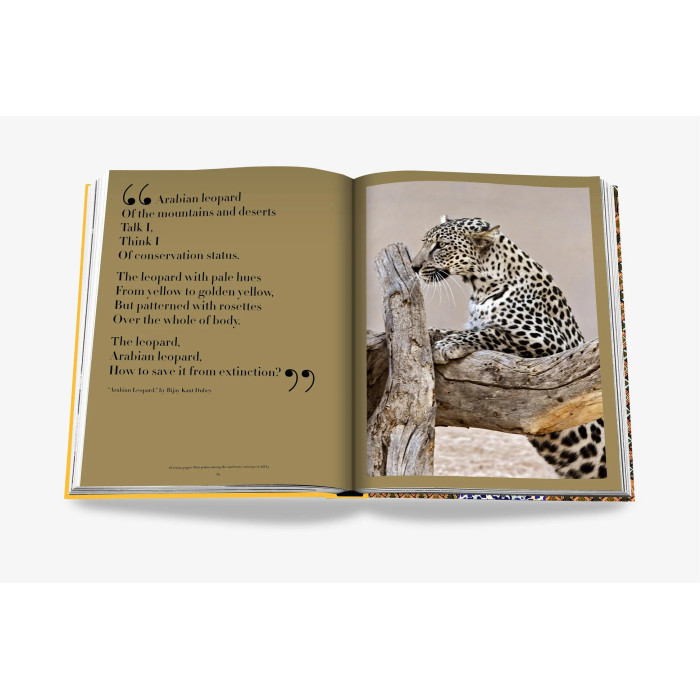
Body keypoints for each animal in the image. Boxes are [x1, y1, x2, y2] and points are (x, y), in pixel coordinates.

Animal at [410, 216, 606, 479]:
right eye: (425, 242)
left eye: (440, 246)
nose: (414, 267)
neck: (481, 287)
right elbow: (458, 329)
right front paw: (432, 334)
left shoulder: (554, 346)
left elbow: (493, 331)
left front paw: (449, 345)